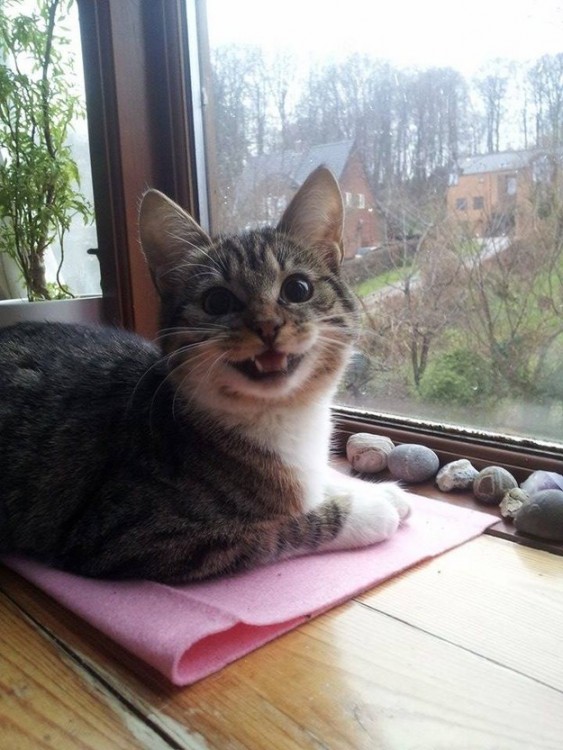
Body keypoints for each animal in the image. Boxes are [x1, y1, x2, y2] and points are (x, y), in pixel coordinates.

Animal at [0, 170, 410, 588]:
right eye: (217, 301)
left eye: (298, 289)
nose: (267, 325)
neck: (282, 416)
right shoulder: (131, 534)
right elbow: (279, 527)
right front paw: (370, 510)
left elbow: (320, 477)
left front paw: (373, 490)